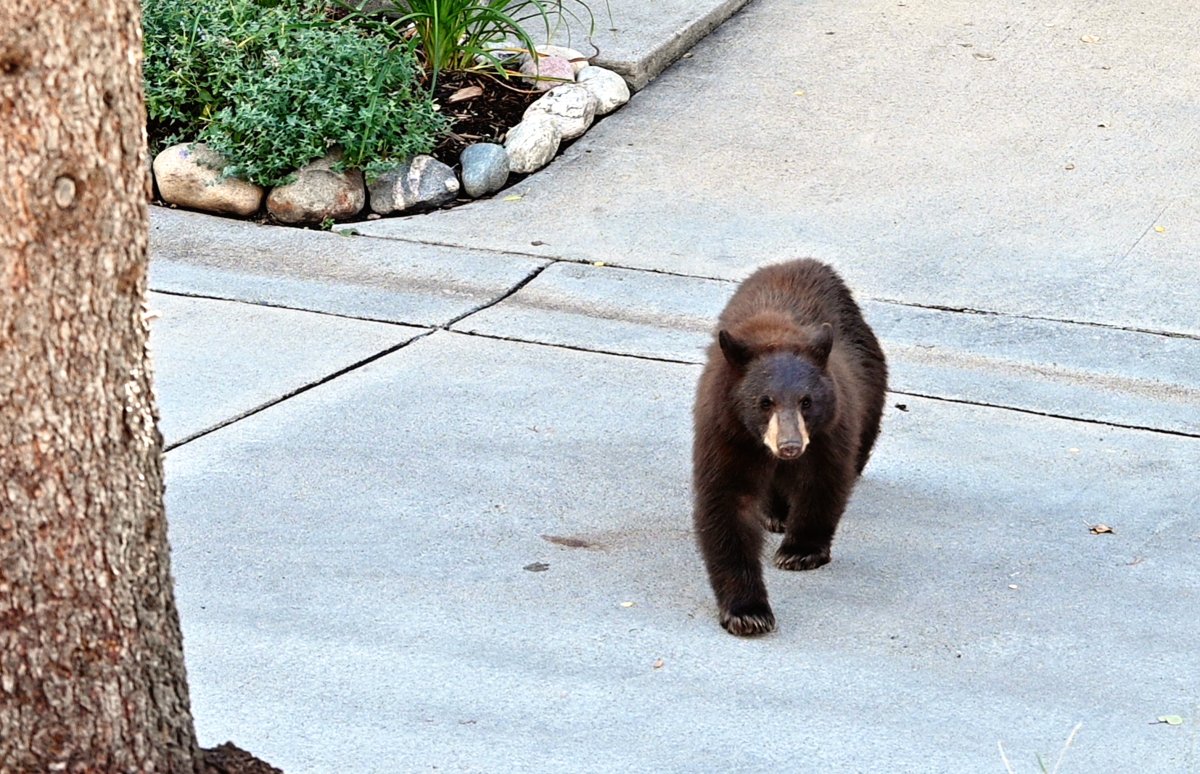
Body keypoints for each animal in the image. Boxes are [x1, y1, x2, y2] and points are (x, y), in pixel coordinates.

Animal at [691, 259, 888, 633]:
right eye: (764, 401)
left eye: (806, 401)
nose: (790, 446)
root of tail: (803, 262)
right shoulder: (726, 432)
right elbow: (727, 502)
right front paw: (748, 611)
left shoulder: (831, 428)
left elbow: (823, 481)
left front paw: (800, 551)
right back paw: (775, 513)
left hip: (871, 388)